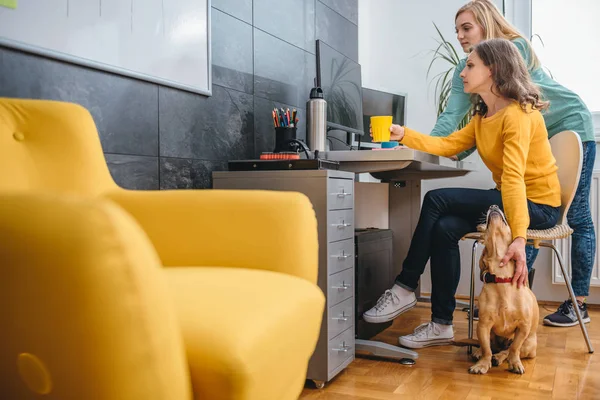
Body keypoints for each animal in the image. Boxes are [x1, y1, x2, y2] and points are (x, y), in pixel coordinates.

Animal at [468, 206, 540, 376]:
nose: (493, 206)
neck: (502, 277)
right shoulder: (483, 325)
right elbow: (487, 348)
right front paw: (483, 363)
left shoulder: (523, 327)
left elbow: (514, 348)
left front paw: (515, 364)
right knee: (490, 346)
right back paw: (479, 353)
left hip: (529, 345)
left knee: (507, 350)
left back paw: (499, 357)